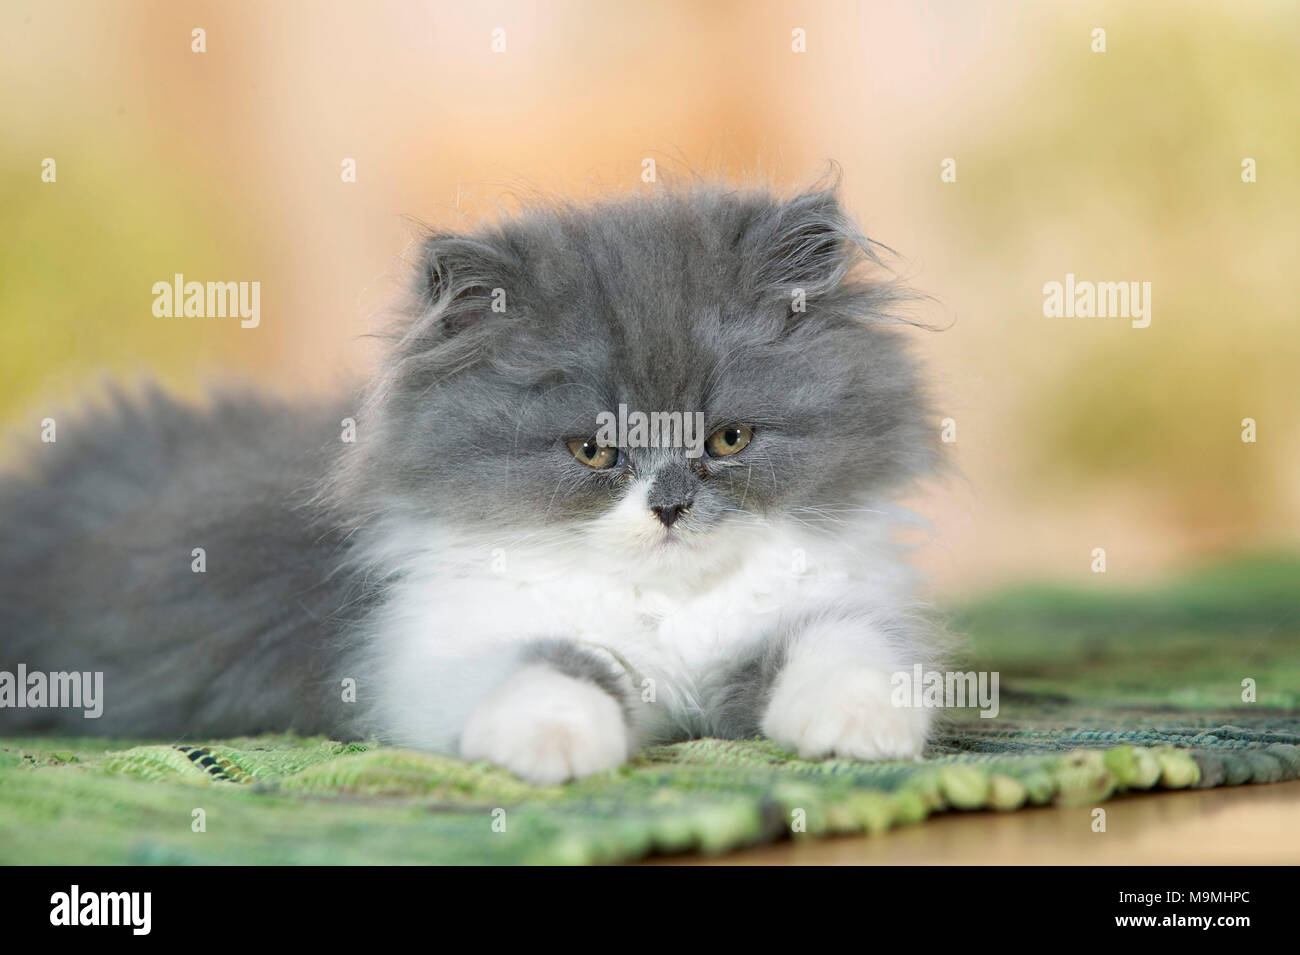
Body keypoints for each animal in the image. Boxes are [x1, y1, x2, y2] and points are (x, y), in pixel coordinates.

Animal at [5, 184, 951, 784]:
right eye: (591, 451)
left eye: (727, 438)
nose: (671, 505)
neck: (662, 606)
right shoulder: (426, 649)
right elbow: (557, 662)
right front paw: (553, 740)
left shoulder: (824, 601)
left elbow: (841, 646)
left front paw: (862, 725)